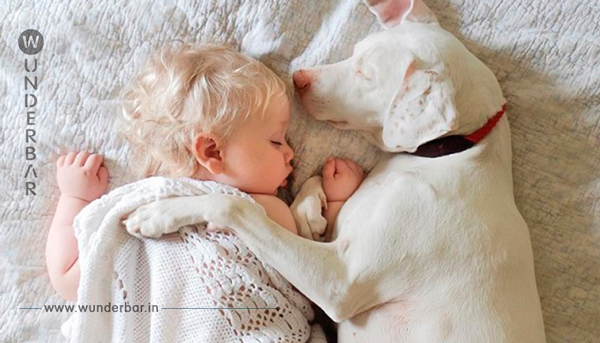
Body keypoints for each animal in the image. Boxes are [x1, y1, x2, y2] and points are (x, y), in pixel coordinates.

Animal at [126, 1, 548, 342]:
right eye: (356, 53)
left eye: (366, 74)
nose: (298, 78)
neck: (446, 156)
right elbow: (306, 195)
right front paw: (312, 207)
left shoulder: (338, 282)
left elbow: (237, 206)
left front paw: (162, 211)